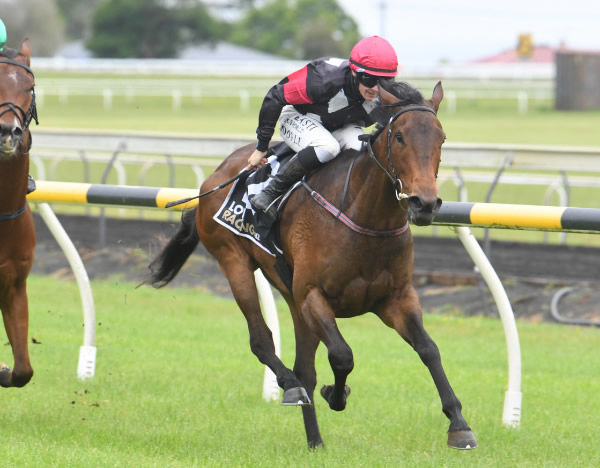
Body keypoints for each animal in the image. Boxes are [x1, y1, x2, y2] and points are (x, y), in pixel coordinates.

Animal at [148, 81, 476, 450]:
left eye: (441, 138)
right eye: (400, 137)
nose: (425, 203)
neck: (366, 219)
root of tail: (216, 175)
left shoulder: (396, 299)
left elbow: (428, 349)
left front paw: (459, 424)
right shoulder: (313, 296)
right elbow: (343, 355)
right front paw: (336, 393)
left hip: (292, 298)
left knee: (304, 367)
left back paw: (315, 440)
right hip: (234, 262)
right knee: (262, 341)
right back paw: (291, 387)